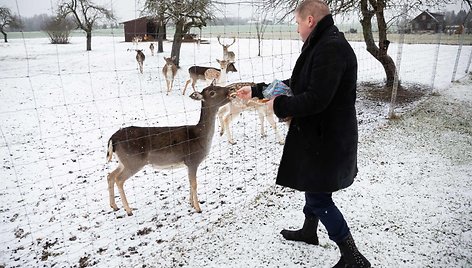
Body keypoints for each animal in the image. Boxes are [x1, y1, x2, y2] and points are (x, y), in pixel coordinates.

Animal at [106, 81, 233, 216]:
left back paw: (114, 206)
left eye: (218, 86)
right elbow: (194, 184)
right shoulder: (192, 160)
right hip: (133, 161)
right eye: (212, 92)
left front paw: (191, 203)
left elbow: (190, 182)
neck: (200, 137)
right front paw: (198, 208)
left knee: (110, 175)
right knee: (119, 179)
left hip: (123, 161)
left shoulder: (187, 164)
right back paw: (129, 210)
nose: (230, 90)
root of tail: (113, 139)